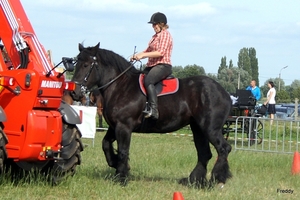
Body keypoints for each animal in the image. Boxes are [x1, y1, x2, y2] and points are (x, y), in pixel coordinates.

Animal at [69, 43, 232, 188]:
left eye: (86, 65)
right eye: (77, 63)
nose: (74, 92)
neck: (120, 87)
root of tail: (224, 93)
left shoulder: (124, 127)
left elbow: (123, 151)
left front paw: (122, 178)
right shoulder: (114, 127)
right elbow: (106, 145)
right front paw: (116, 165)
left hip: (210, 128)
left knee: (223, 148)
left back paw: (217, 180)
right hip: (197, 128)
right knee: (204, 154)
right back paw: (194, 181)